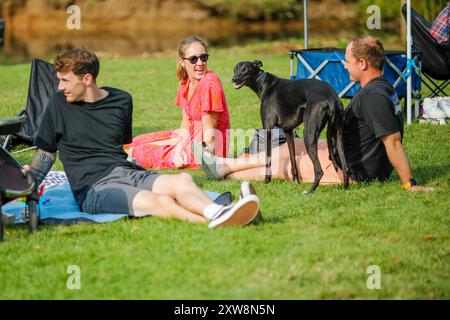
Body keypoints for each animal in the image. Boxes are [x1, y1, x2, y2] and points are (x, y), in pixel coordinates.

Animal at [232, 59, 348, 192]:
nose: (234, 79)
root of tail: (331, 97)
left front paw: (267, 180)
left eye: (245, 69)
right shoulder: (288, 131)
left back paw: (310, 191)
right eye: (235, 69)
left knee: (319, 170)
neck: (263, 83)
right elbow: (292, 157)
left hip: (309, 135)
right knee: (345, 167)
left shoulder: (268, 129)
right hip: (338, 135)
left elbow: (268, 159)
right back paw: (344, 188)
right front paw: (296, 182)